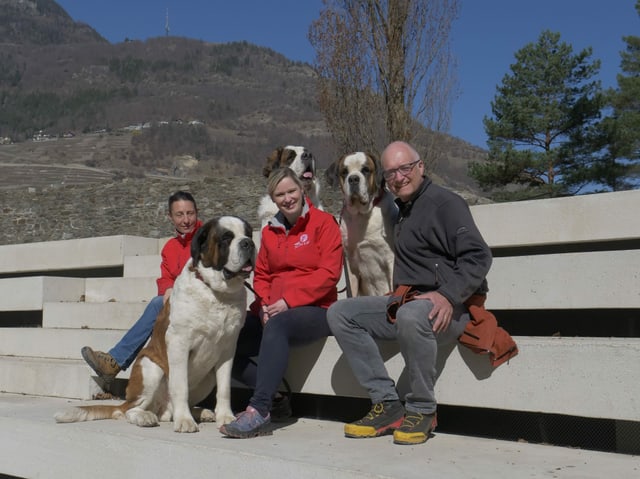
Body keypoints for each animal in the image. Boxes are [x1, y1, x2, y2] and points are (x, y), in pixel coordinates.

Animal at [54, 216, 255, 434]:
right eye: (226, 238)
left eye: (249, 234)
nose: (249, 243)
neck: (215, 292)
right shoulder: (178, 343)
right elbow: (180, 386)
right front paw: (185, 421)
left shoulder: (227, 349)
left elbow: (224, 388)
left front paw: (226, 417)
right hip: (150, 368)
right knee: (128, 410)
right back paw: (146, 417)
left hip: (207, 379)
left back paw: (200, 412)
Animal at [328, 152, 398, 298]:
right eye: (344, 172)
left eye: (365, 170)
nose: (353, 179)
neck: (361, 215)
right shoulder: (350, 263)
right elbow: (352, 292)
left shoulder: (391, 258)